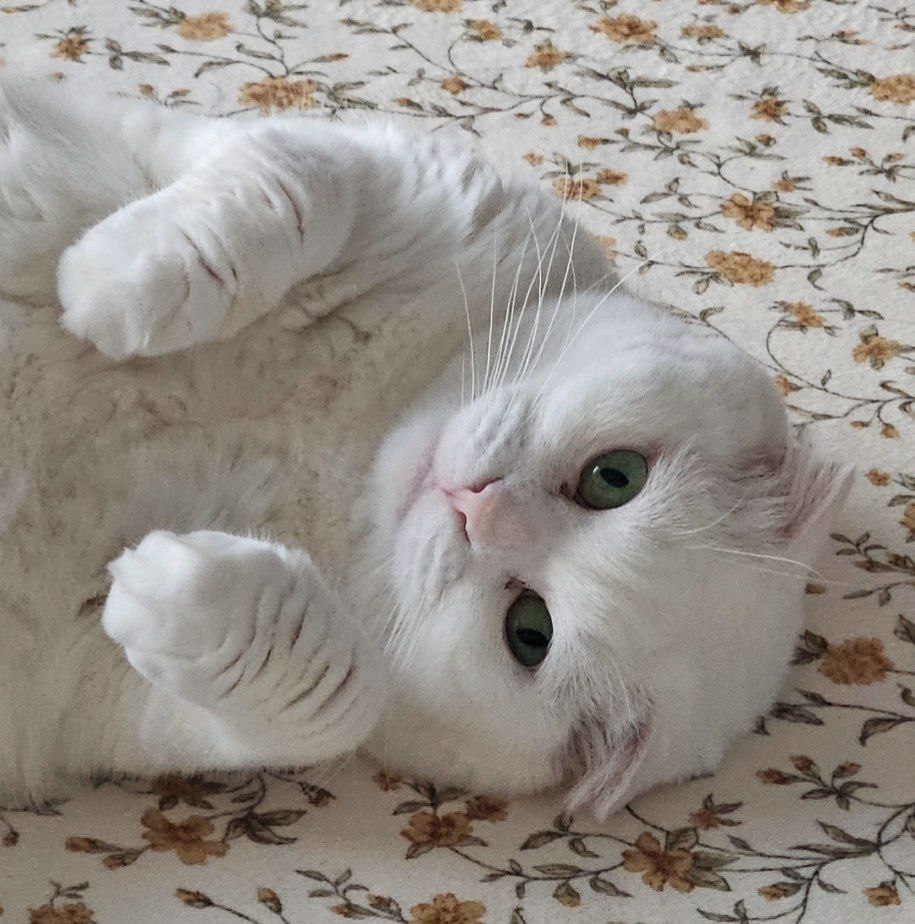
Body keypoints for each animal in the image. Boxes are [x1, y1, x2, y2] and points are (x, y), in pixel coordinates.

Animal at [0, 75, 851, 816]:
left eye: (529, 633)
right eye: (615, 478)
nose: (477, 509)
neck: (352, 443)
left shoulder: (85, 706)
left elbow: (334, 704)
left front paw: (185, 588)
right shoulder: (392, 171)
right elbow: (297, 183)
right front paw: (114, 285)